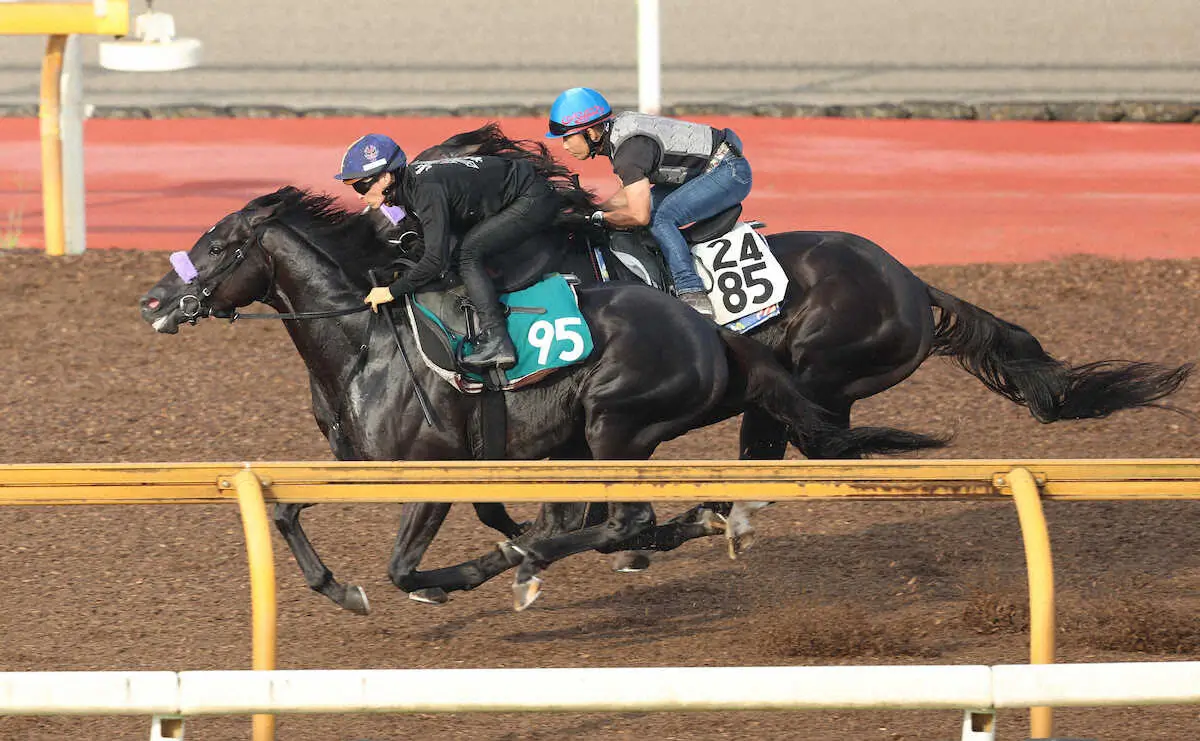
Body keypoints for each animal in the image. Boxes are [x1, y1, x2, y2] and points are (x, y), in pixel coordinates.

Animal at [136, 187, 931, 609]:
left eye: (217, 246)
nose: (155, 299)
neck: (365, 342)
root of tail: (709, 329)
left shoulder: (435, 471)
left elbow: (403, 566)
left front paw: (435, 581)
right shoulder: (354, 463)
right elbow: (283, 511)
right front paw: (339, 587)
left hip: (616, 423)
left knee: (624, 523)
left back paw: (533, 561)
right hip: (589, 436)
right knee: (609, 520)